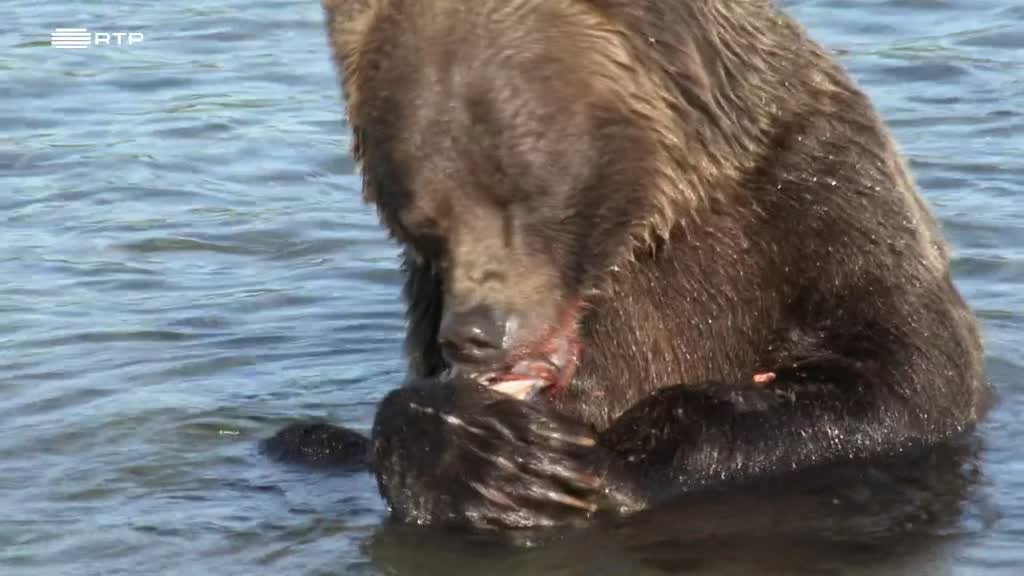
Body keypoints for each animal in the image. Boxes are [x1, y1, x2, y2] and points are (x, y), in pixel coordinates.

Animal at [266, 0, 992, 529]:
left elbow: (909, 377)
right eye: (421, 215)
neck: (651, 222)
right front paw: (482, 453)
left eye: (521, 189)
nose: (476, 333)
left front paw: (620, 456)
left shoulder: (823, 198)